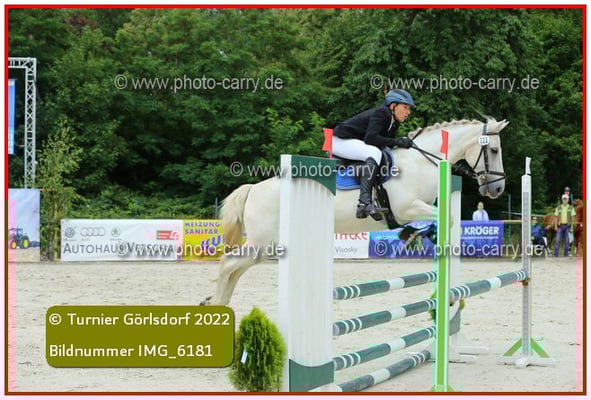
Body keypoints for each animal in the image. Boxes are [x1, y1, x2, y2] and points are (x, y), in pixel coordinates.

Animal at [202, 118, 509, 305]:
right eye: (493, 150)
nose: (497, 189)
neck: (422, 162)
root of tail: (253, 189)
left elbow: (444, 219)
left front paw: (413, 235)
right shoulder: (407, 207)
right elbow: (446, 218)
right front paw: (414, 235)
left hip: (265, 246)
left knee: (236, 269)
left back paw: (218, 302)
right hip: (264, 244)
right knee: (228, 264)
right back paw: (217, 304)